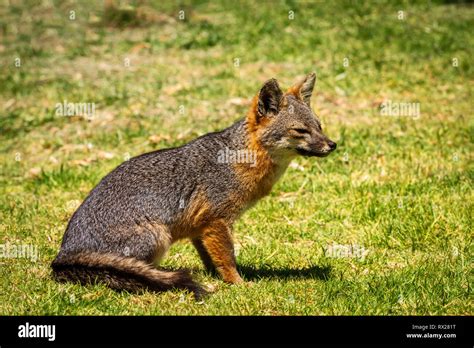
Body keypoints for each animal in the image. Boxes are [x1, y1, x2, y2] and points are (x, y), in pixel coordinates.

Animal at [51, 72, 336, 298]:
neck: (241, 159)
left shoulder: (201, 226)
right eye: (300, 131)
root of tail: (64, 254)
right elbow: (227, 258)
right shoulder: (217, 221)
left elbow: (212, 258)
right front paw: (238, 284)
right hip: (158, 235)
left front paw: (216, 277)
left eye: (320, 126)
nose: (332, 145)